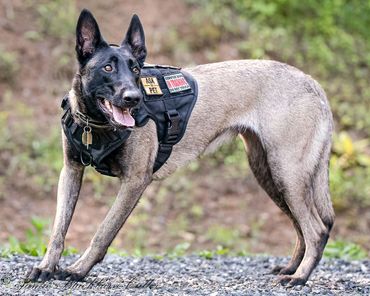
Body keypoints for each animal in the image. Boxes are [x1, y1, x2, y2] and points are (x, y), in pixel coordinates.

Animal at [28, 9, 336, 286]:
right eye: (107, 67)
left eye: (136, 69)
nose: (133, 98)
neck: (96, 124)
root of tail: (313, 84)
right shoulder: (70, 172)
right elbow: (58, 229)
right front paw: (46, 267)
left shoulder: (134, 182)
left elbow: (103, 230)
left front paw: (79, 270)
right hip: (269, 174)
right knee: (301, 227)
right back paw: (292, 267)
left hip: (286, 173)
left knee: (317, 229)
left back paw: (299, 276)